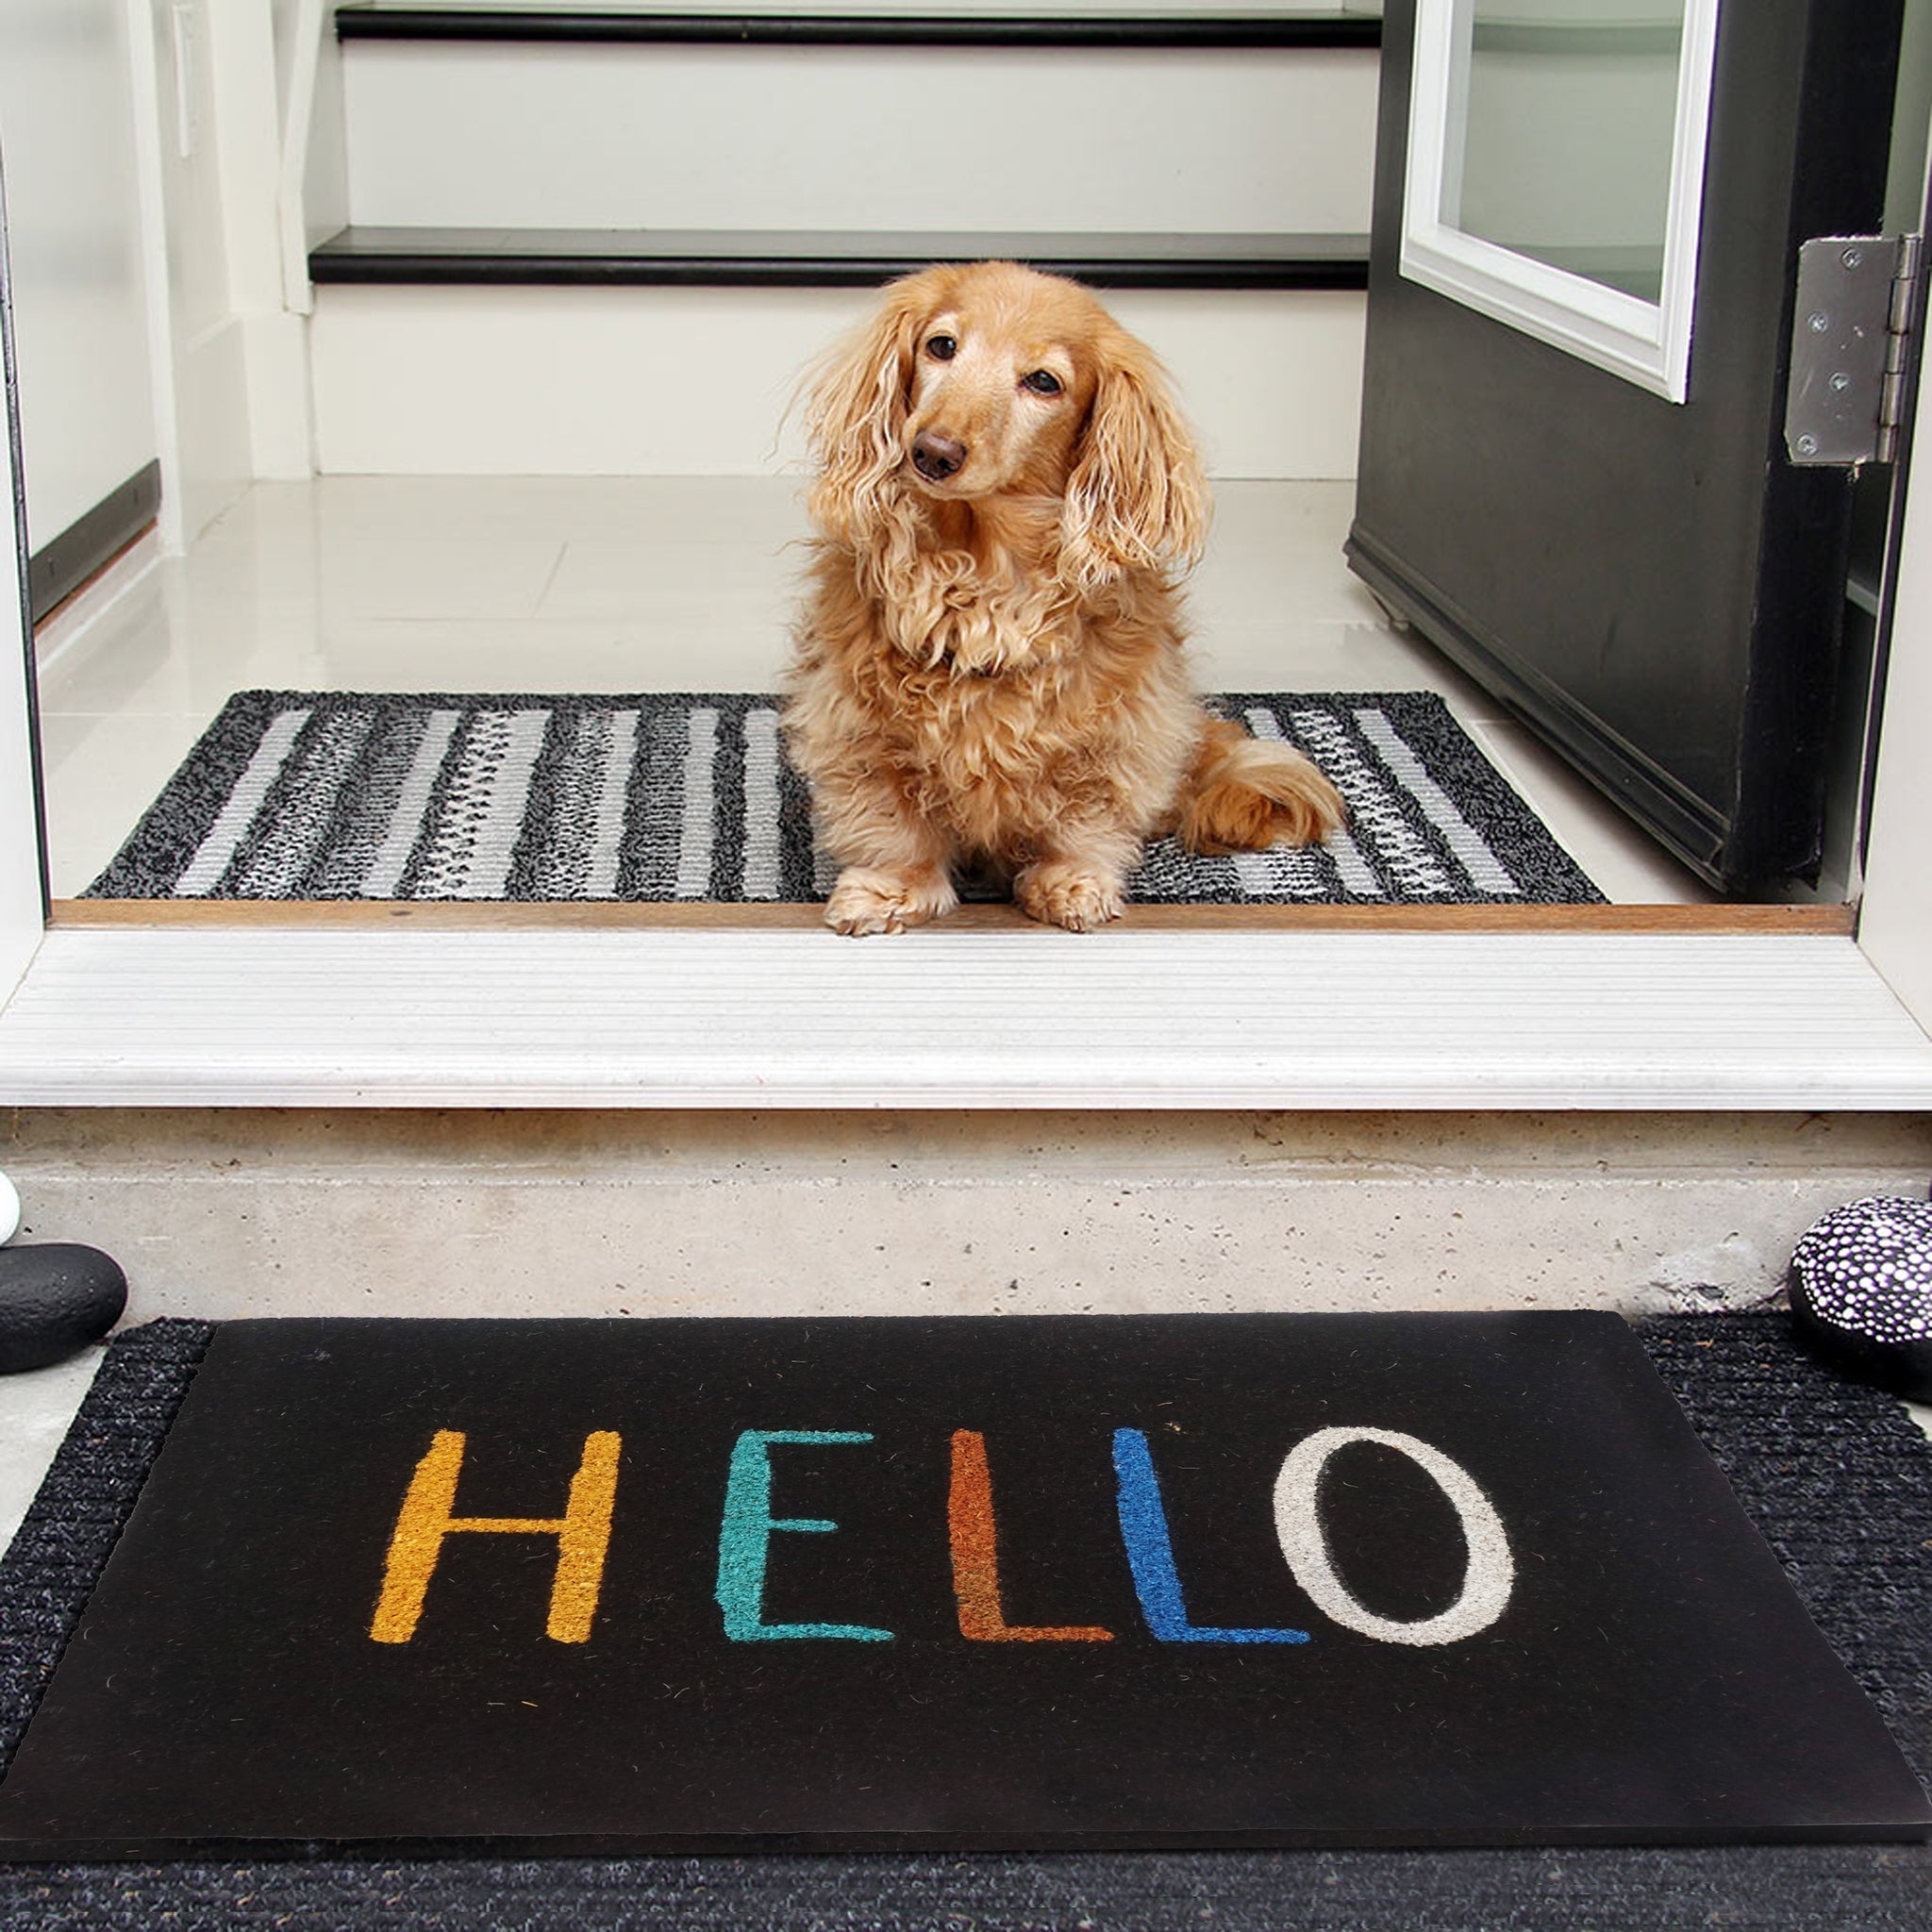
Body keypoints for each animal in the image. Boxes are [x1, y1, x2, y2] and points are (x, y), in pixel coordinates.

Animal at [784, 264, 1344, 935]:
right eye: (942, 345)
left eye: (1044, 382)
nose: (933, 451)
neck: (980, 573)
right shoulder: (859, 727)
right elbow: (894, 823)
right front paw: (892, 889)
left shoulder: (1115, 730)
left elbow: (1085, 815)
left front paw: (1070, 882)